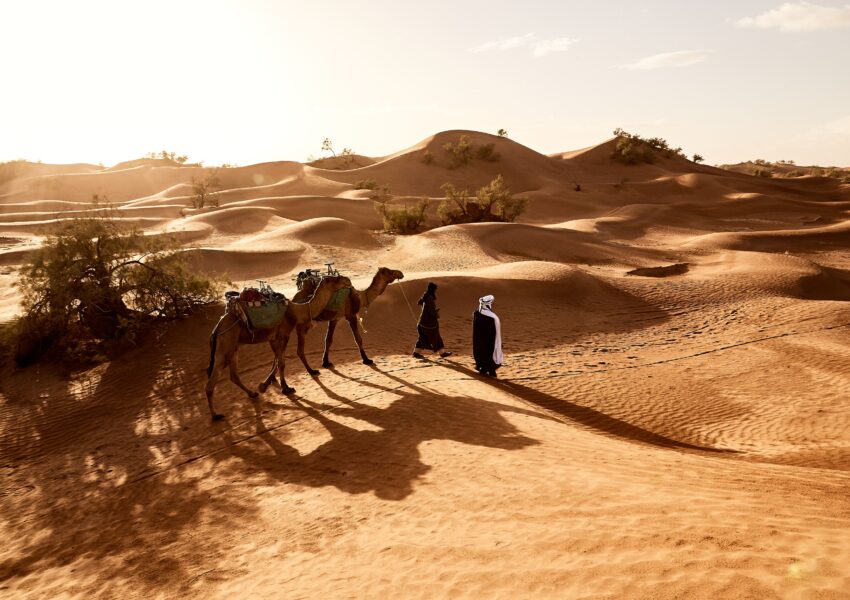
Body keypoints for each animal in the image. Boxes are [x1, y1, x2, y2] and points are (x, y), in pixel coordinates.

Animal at [205, 275, 352, 420]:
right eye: (334, 279)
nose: (348, 280)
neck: (296, 310)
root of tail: (217, 329)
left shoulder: (274, 338)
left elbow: (277, 359)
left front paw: (265, 385)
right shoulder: (283, 334)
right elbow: (281, 362)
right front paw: (286, 388)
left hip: (233, 347)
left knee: (234, 375)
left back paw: (252, 393)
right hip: (225, 345)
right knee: (212, 381)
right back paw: (215, 415)